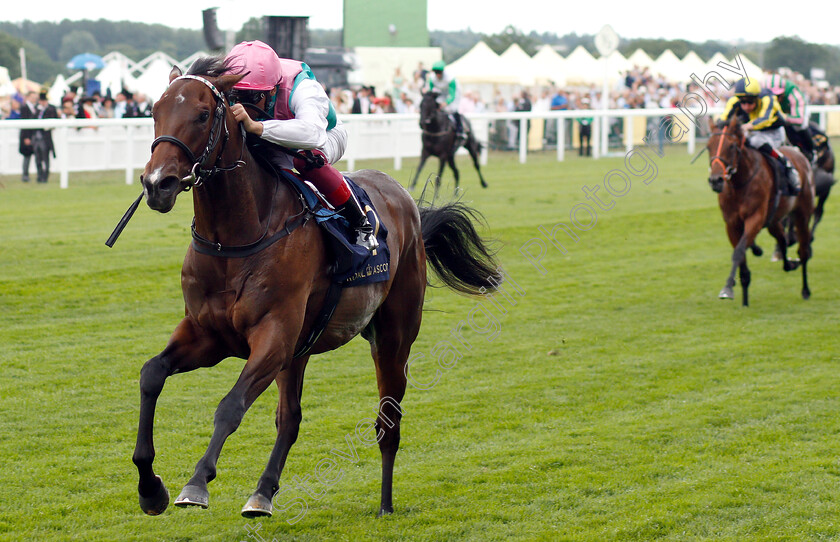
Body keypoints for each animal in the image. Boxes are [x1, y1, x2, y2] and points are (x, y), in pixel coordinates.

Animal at [130, 57, 498, 520]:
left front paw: (196, 483)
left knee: (388, 421)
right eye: (155, 111)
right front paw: (150, 487)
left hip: (392, 338)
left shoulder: (272, 335)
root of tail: (407, 201)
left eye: (201, 114)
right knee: (290, 418)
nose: (156, 184)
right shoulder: (208, 335)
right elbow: (151, 374)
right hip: (299, 350)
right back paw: (263, 493)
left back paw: (385, 504)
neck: (235, 239)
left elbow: (230, 405)